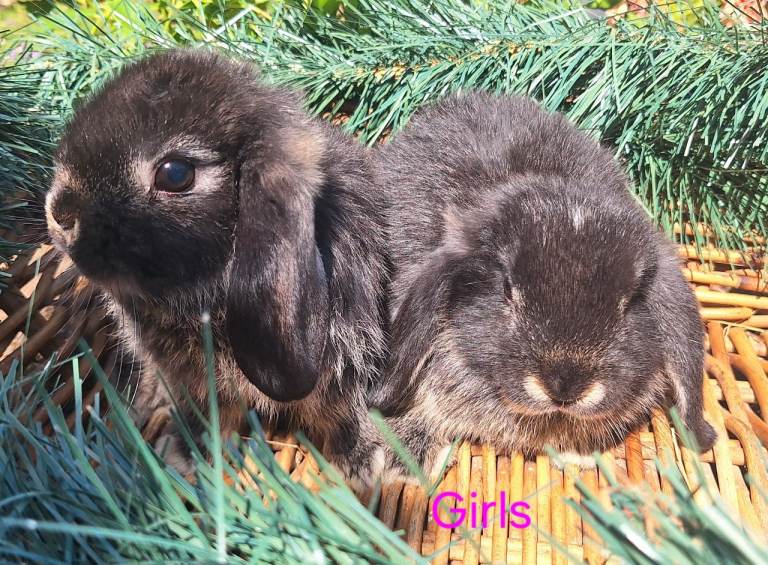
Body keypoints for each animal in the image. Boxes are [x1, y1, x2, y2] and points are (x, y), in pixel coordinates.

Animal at [45, 49, 388, 484]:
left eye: (175, 173)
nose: (60, 212)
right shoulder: (196, 384)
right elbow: (206, 415)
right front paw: (185, 456)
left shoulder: (343, 372)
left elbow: (341, 415)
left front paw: (363, 464)